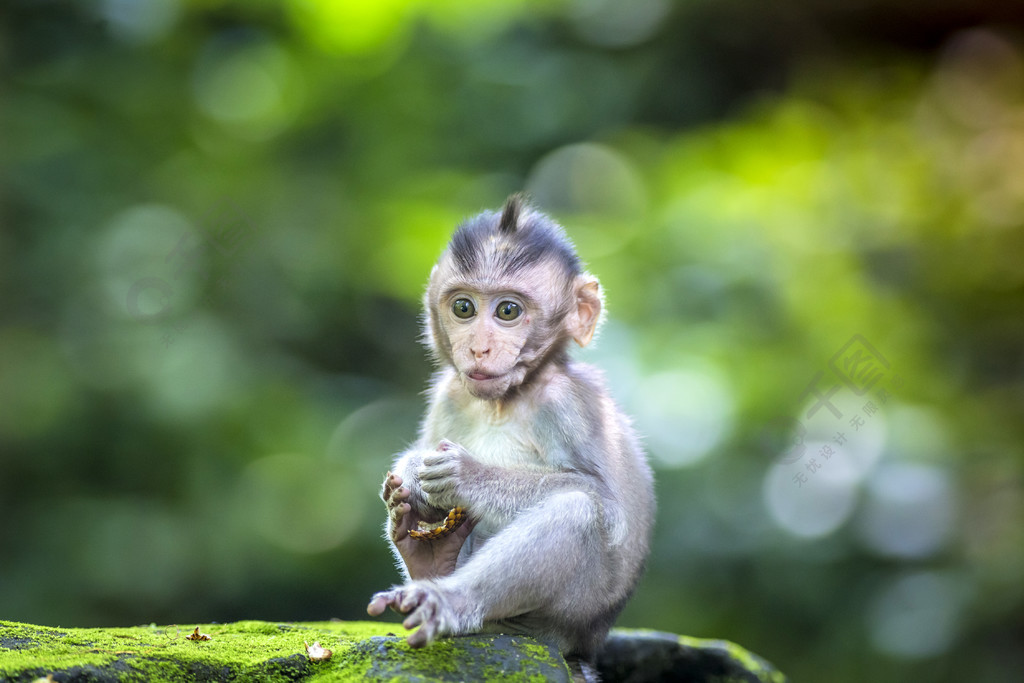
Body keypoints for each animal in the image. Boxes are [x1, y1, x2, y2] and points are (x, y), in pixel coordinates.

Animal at [368, 193, 655, 667]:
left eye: (508, 311)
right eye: (463, 307)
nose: (479, 348)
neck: (504, 401)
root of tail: (585, 641)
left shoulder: (568, 403)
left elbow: (605, 505)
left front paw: (469, 476)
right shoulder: (449, 394)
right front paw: (409, 473)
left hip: (577, 608)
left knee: (576, 511)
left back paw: (448, 598)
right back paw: (430, 560)